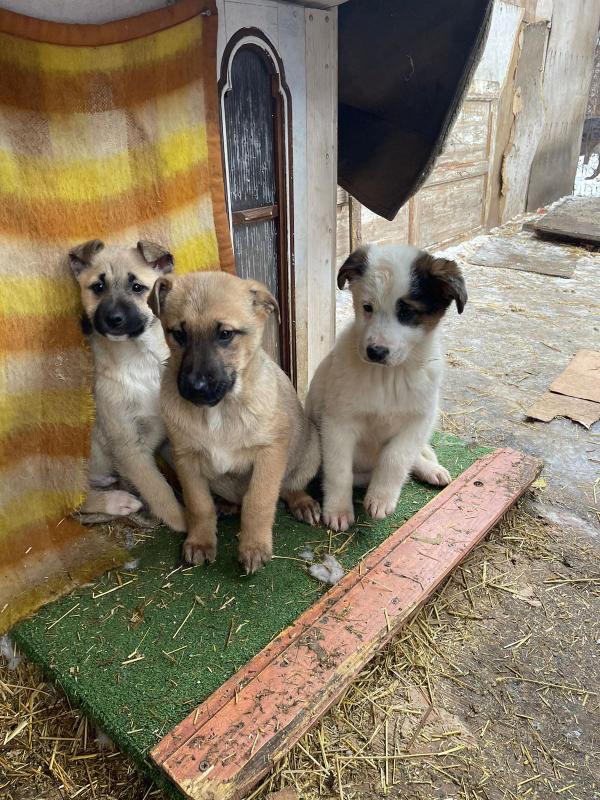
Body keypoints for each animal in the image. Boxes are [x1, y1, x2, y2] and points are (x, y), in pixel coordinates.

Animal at [148, 272, 322, 572]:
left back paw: (302, 503)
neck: (219, 412)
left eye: (225, 334)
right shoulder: (185, 458)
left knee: (288, 486)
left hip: (311, 451)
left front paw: (254, 547)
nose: (195, 387)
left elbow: (259, 501)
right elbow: (198, 504)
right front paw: (201, 542)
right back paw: (225, 504)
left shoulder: (270, 453)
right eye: (179, 334)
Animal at [308, 244, 466, 532]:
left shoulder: (418, 420)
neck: (388, 376)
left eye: (407, 312)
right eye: (367, 307)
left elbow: (395, 458)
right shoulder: (337, 423)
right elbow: (339, 471)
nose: (375, 351)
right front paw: (338, 509)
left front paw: (380, 497)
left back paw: (430, 469)